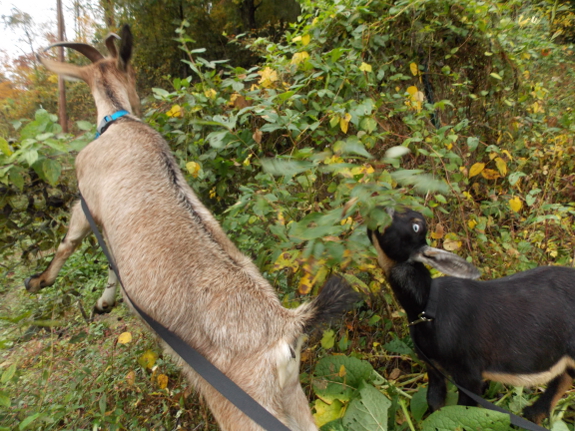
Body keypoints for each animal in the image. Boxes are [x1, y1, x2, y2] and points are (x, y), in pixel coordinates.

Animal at [28, 25, 360, 430]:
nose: (140, 104)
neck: (119, 123)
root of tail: (285, 328)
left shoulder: (85, 201)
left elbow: (70, 242)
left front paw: (39, 282)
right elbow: (111, 264)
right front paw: (104, 302)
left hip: (241, 407)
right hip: (289, 398)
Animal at [368, 208, 575, 426]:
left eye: (416, 225)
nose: (381, 209)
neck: (429, 307)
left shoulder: (469, 375)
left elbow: (462, 412)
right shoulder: (433, 366)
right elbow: (435, 403)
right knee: (562, 380)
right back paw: (533, 414)